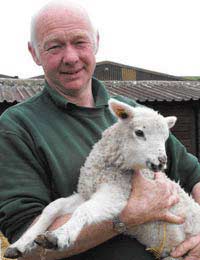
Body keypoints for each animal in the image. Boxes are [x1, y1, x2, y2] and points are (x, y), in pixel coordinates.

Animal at [3, 98, 200, 260]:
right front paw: (20, 244)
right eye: (139, 132)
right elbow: (53, 207)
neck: (107, 167)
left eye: (166, 138)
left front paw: (58, 236)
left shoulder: (117, 193)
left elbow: (84, 210)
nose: (162, 162)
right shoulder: (86, 193)